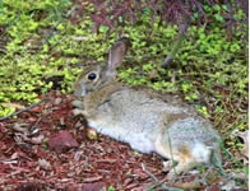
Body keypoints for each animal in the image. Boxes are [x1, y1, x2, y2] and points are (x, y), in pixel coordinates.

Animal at [72, 37, 221, 179]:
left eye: (91, 76)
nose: (75, 91)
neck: (103, 87)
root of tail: (210, 140)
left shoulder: (100, 113)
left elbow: (86, 114)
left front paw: (76, 111)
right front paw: (75, 103)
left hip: (169, 140)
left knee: (193, 160)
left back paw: (172, 174)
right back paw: (168, 166)